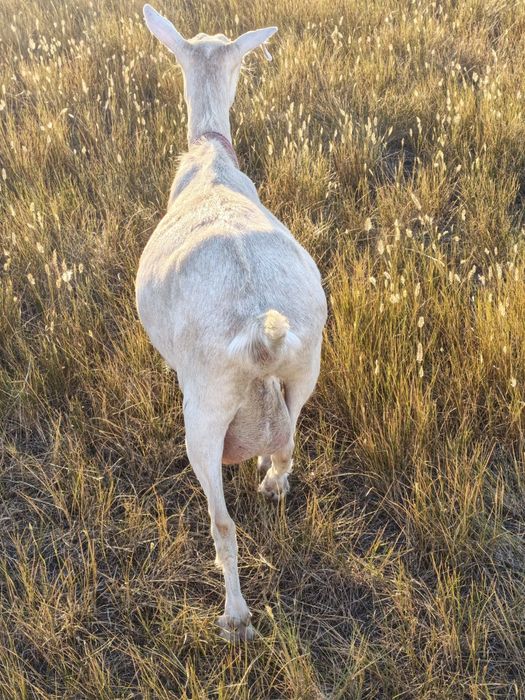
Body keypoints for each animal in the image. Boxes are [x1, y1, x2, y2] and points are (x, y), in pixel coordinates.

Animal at [136, 4, 327, 641]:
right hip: (306, 368)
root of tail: (259, 335)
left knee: (222, 524)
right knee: (288, 444)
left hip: (205, 408)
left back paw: (236, 618)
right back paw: (272, 482)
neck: (210, 161)